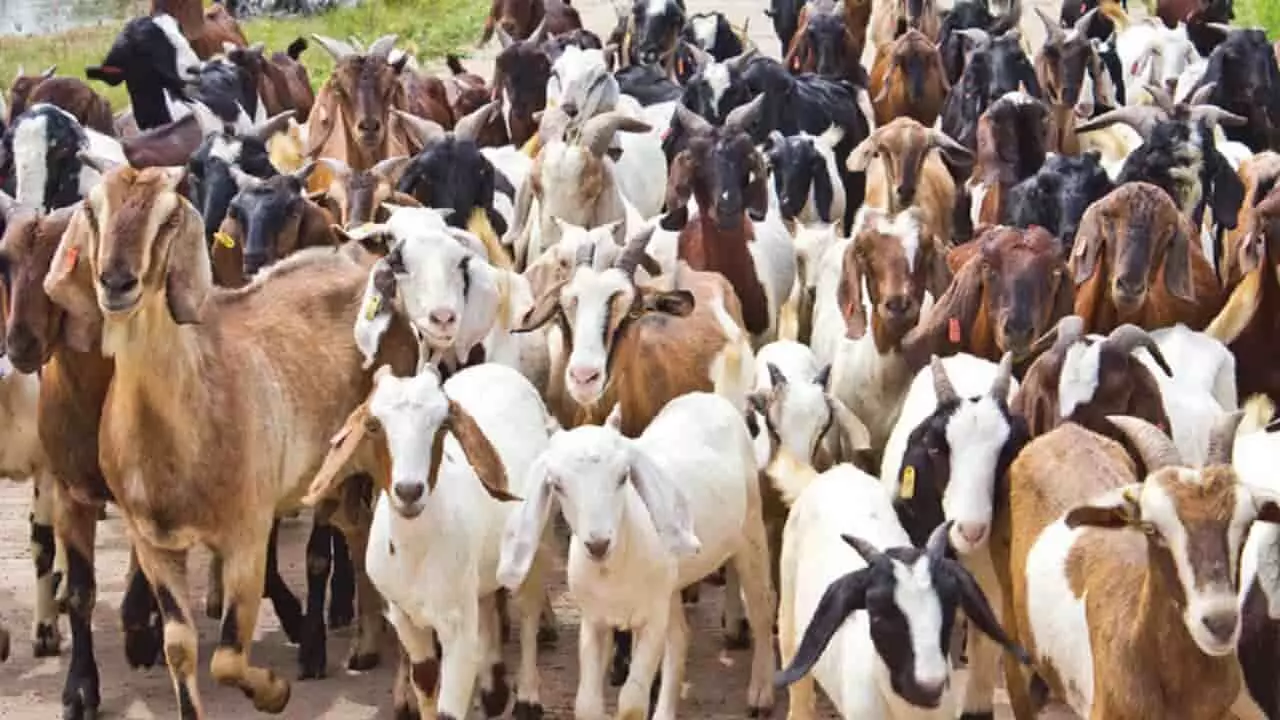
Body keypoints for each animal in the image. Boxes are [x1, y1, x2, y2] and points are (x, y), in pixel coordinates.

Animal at [42, 166, 417, 715]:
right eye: (92, 209)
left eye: (169, 216)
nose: (117, 282)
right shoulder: (152, 543)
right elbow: (179, 647)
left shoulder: (247, 534)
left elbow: (226, 658)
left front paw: (276, 691)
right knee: (358, 527)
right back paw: (368, 645)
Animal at [359, 362, 550, 719]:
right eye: (373, 425)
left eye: (442, 424)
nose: (409, 491)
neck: (415, 553)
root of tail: (498, 367)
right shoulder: (404, 615)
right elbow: (425, 677)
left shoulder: (456, 627)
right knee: (488, 606)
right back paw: (493, 691)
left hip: (535, 542)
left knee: (529, 611)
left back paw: (528, 698)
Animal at [498, 392, 777, 718]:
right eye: (557, 485)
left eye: (623, 477)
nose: (598, 544)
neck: (615, 567)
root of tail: (707, 396)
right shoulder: (594, 619)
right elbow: (587, 703)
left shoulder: (650, 620)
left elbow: (631, 701)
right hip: (669, 586)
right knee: (680, 637)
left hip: (751, 529)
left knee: (761, 611)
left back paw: (761, 693)